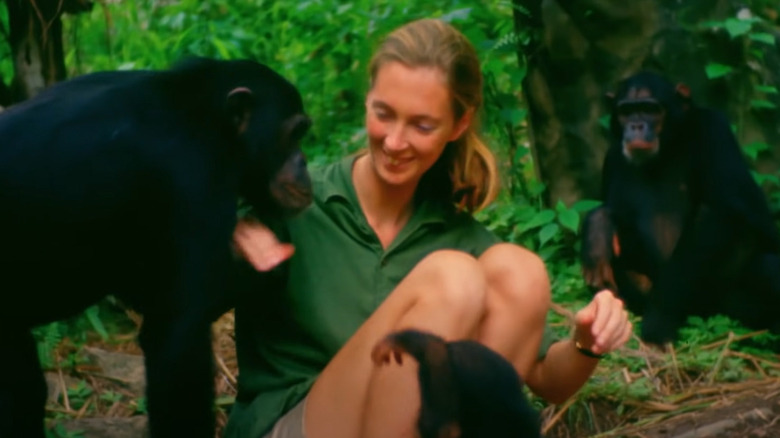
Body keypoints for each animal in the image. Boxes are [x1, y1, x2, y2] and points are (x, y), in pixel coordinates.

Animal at [580, 71, 780, 346]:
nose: (636, 125)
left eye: (650, 109)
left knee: (766, 266)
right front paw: (597, 228)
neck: (668, 147)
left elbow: (724, 213)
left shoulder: (715, 131)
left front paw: (659, 320)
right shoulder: (612, 159)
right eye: (626, 111)